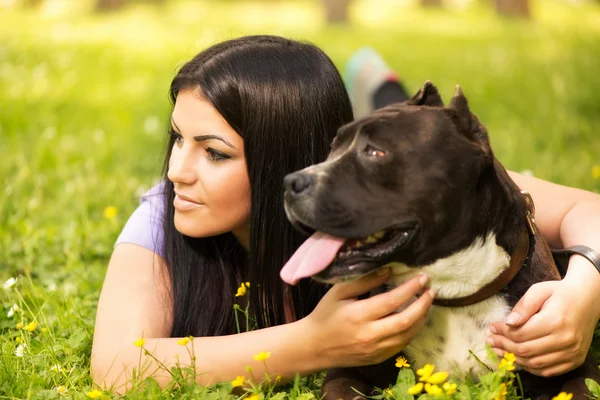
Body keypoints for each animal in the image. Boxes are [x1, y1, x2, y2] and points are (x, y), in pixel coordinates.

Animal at [278, 82, 596, 400]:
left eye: (375, 152)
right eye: (333, 149)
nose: (291, 182)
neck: (455, 293)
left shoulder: (576, 369)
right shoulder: (346, 371)